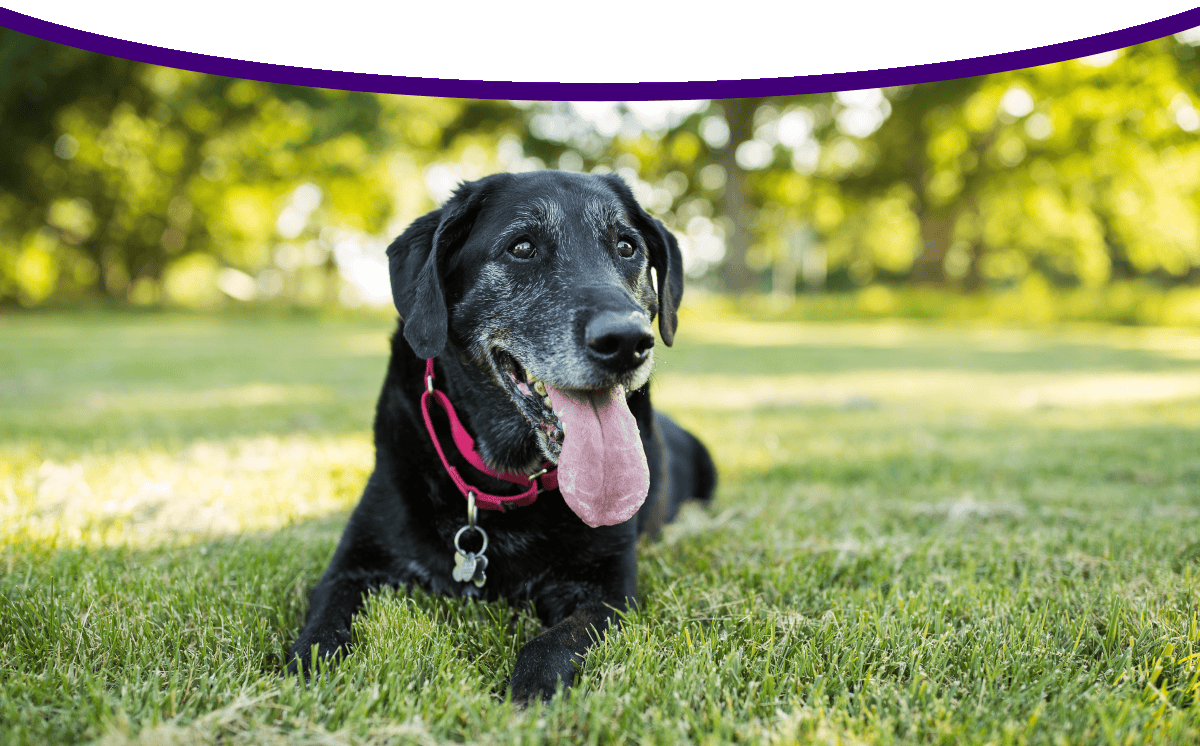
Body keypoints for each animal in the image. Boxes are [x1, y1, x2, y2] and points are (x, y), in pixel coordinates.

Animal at [286, 172, 715, 705]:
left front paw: (531, 693)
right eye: (522, 247)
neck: (506, 482)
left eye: (626, 246)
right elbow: (322, 624)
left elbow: (554, 642)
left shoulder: (610, 590)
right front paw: (310, 671)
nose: (626, 342)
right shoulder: (353, 563)